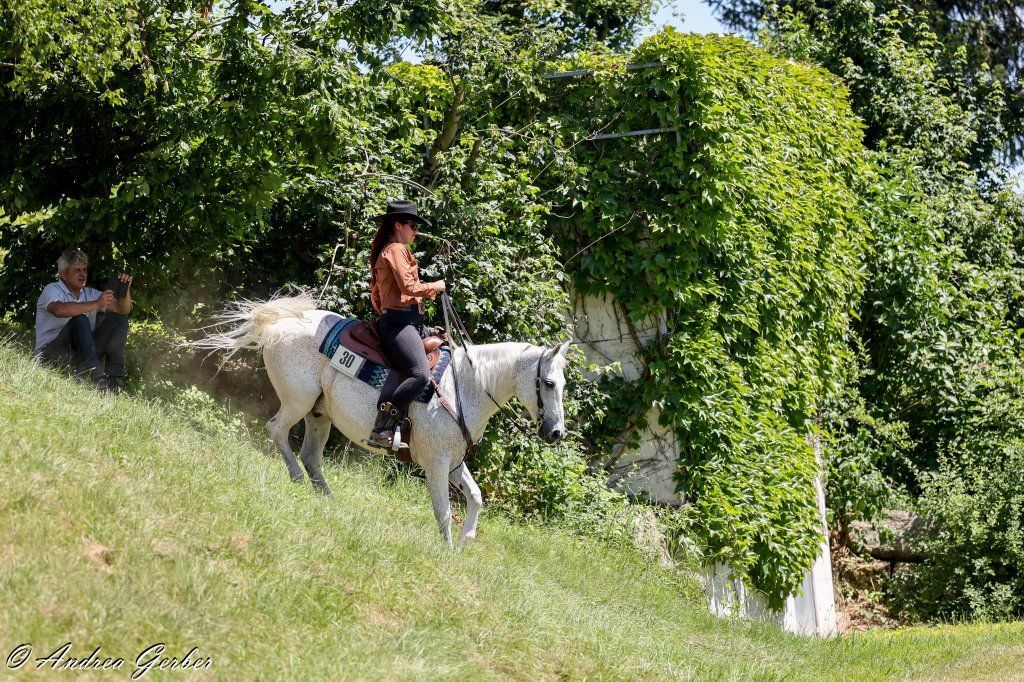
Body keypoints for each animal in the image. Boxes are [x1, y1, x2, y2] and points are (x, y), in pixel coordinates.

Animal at [191, 291, 569, 546]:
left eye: (563, 385)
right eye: (550, 383)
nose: (556, 433)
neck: (466, 385)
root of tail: (279, 323)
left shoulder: (453, 461)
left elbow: (475, 497)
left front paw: (466, 540)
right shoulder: (435, 462)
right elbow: (444, 510)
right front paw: (446, 551)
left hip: (319, 413)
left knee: (311, 455)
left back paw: (327, 500)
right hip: (297, 401)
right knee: (278, 431)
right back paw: (297, 479)